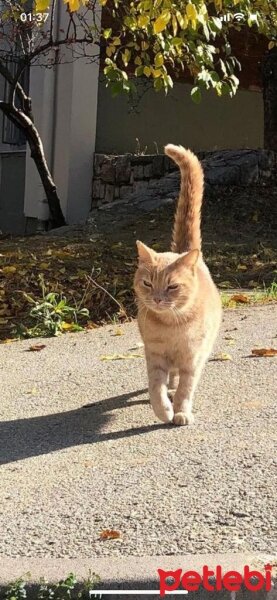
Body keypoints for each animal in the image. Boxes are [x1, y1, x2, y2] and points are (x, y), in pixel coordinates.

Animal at [133, 144, 221, 426]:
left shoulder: (192, 359)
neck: (171, 326)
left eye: (172, 287)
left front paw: (181, 411)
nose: (158, 298)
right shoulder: (154, 356)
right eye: (148, 283)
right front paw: (164, 410)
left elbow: (186, 387)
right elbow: (156, 388)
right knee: (170, 378)